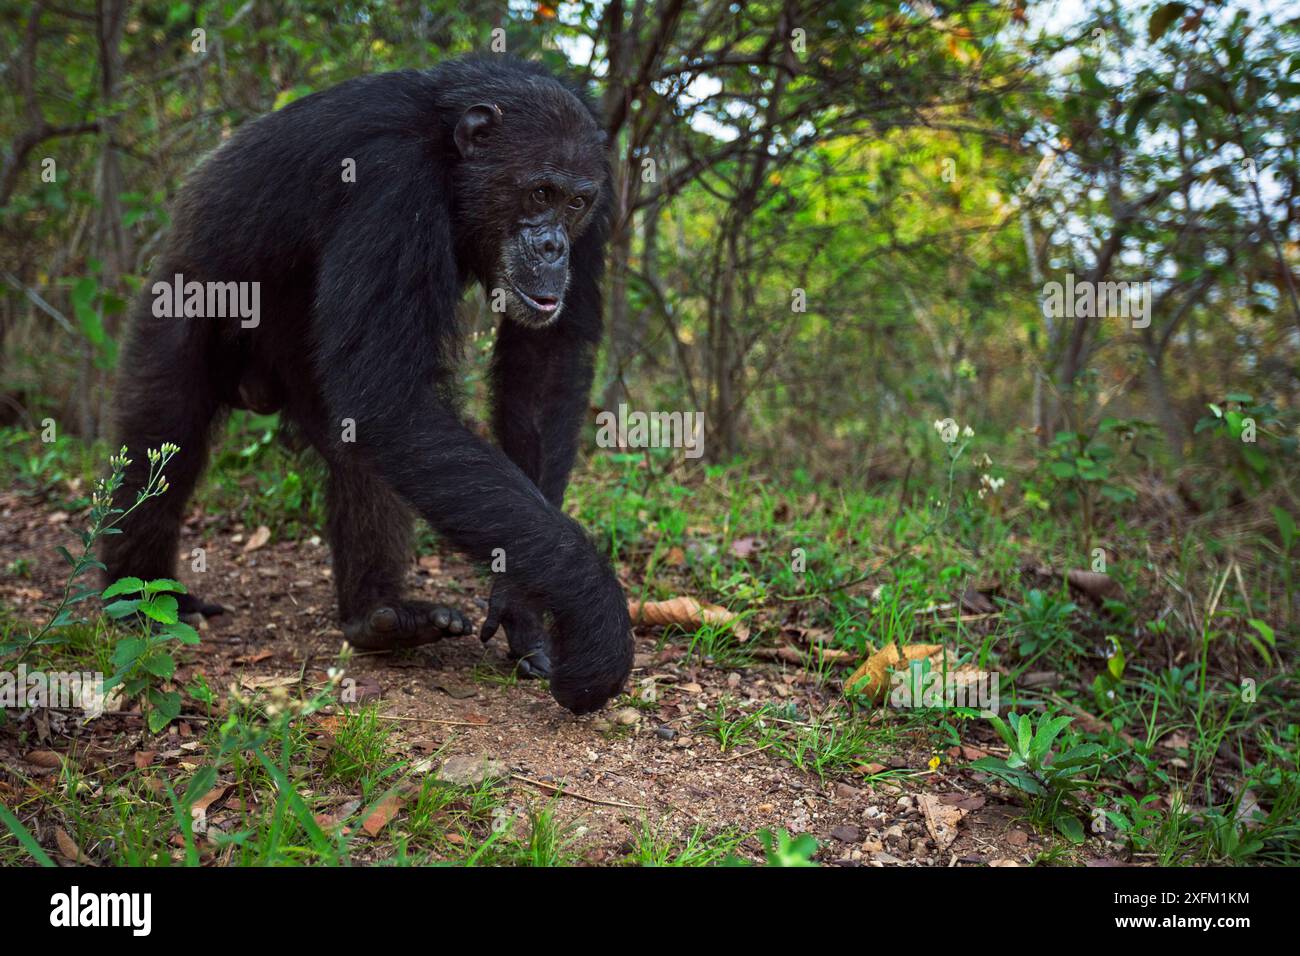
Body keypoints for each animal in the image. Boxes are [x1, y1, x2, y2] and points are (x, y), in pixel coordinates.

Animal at [101, 52, 634, 712]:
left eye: (576, 203)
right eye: (540, 191)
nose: (556, 245)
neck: (449, 159)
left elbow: (543, 362)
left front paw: (525, 605)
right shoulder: (389, 184)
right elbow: (393, 398)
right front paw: (594, 614)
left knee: (357, 445)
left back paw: (380, 616)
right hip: (175, 304)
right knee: (160, 444)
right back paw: (140, 599)